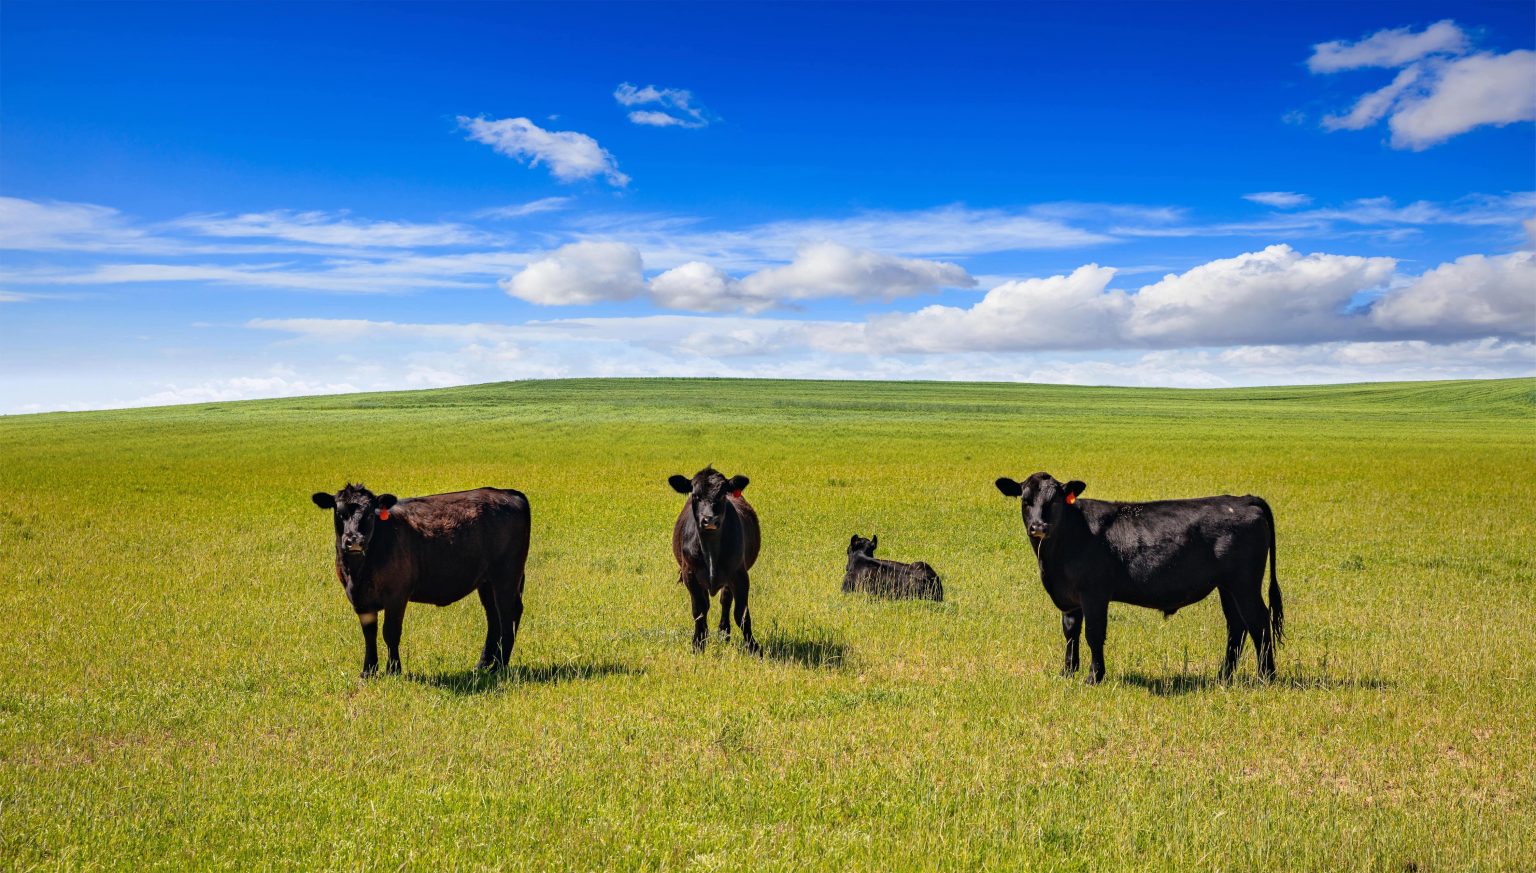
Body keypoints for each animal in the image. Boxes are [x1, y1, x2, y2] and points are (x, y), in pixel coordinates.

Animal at [311, 483, 530, 677]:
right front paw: (368, 671)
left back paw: (499, 666)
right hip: (486, 582)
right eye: (339, 512)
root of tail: (509, 493)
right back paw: (482, 665)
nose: (354, 540)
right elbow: (369, 635)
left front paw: (393, 671)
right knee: (494, 618)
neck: (358, 572)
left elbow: (390, 632)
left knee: (508, 615)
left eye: (370, 513)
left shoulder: (396, 595)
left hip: (506, 575)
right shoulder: (360, 600)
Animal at [669, 467, 761, 653]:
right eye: (695, 495)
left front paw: (753, 647)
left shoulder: (740, 575)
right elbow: (699, 611)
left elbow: (741, 613)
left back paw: (724, 633)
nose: (709, 520)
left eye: (722, 494)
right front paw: (698, 644)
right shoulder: (690, 574)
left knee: (725, 600)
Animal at [994, 472, 1282, 684]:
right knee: (1237, 626)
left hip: (1244, 583)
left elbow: (1093, 634)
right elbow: (1070, 632)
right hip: (1227, 586)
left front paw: (1093, 677)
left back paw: (1266, 676)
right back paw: (1224, 676)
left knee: (1258, 622)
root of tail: (1244, 499)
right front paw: (1067, 672)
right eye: (1025, 500)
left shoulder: (1094, 593)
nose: (1038, 526)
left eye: (1054, 500)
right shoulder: (1070, 598)